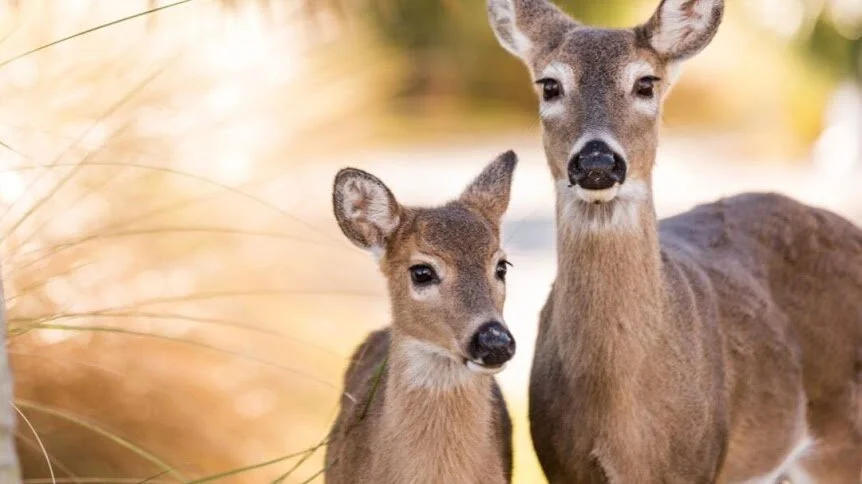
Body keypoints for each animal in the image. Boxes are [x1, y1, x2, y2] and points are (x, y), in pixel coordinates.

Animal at [487, 0, 862, 482]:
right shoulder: (561, 467)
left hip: (841, 445)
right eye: (550, 85)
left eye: (646, 82)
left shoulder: (697, 463)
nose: (596, 160)